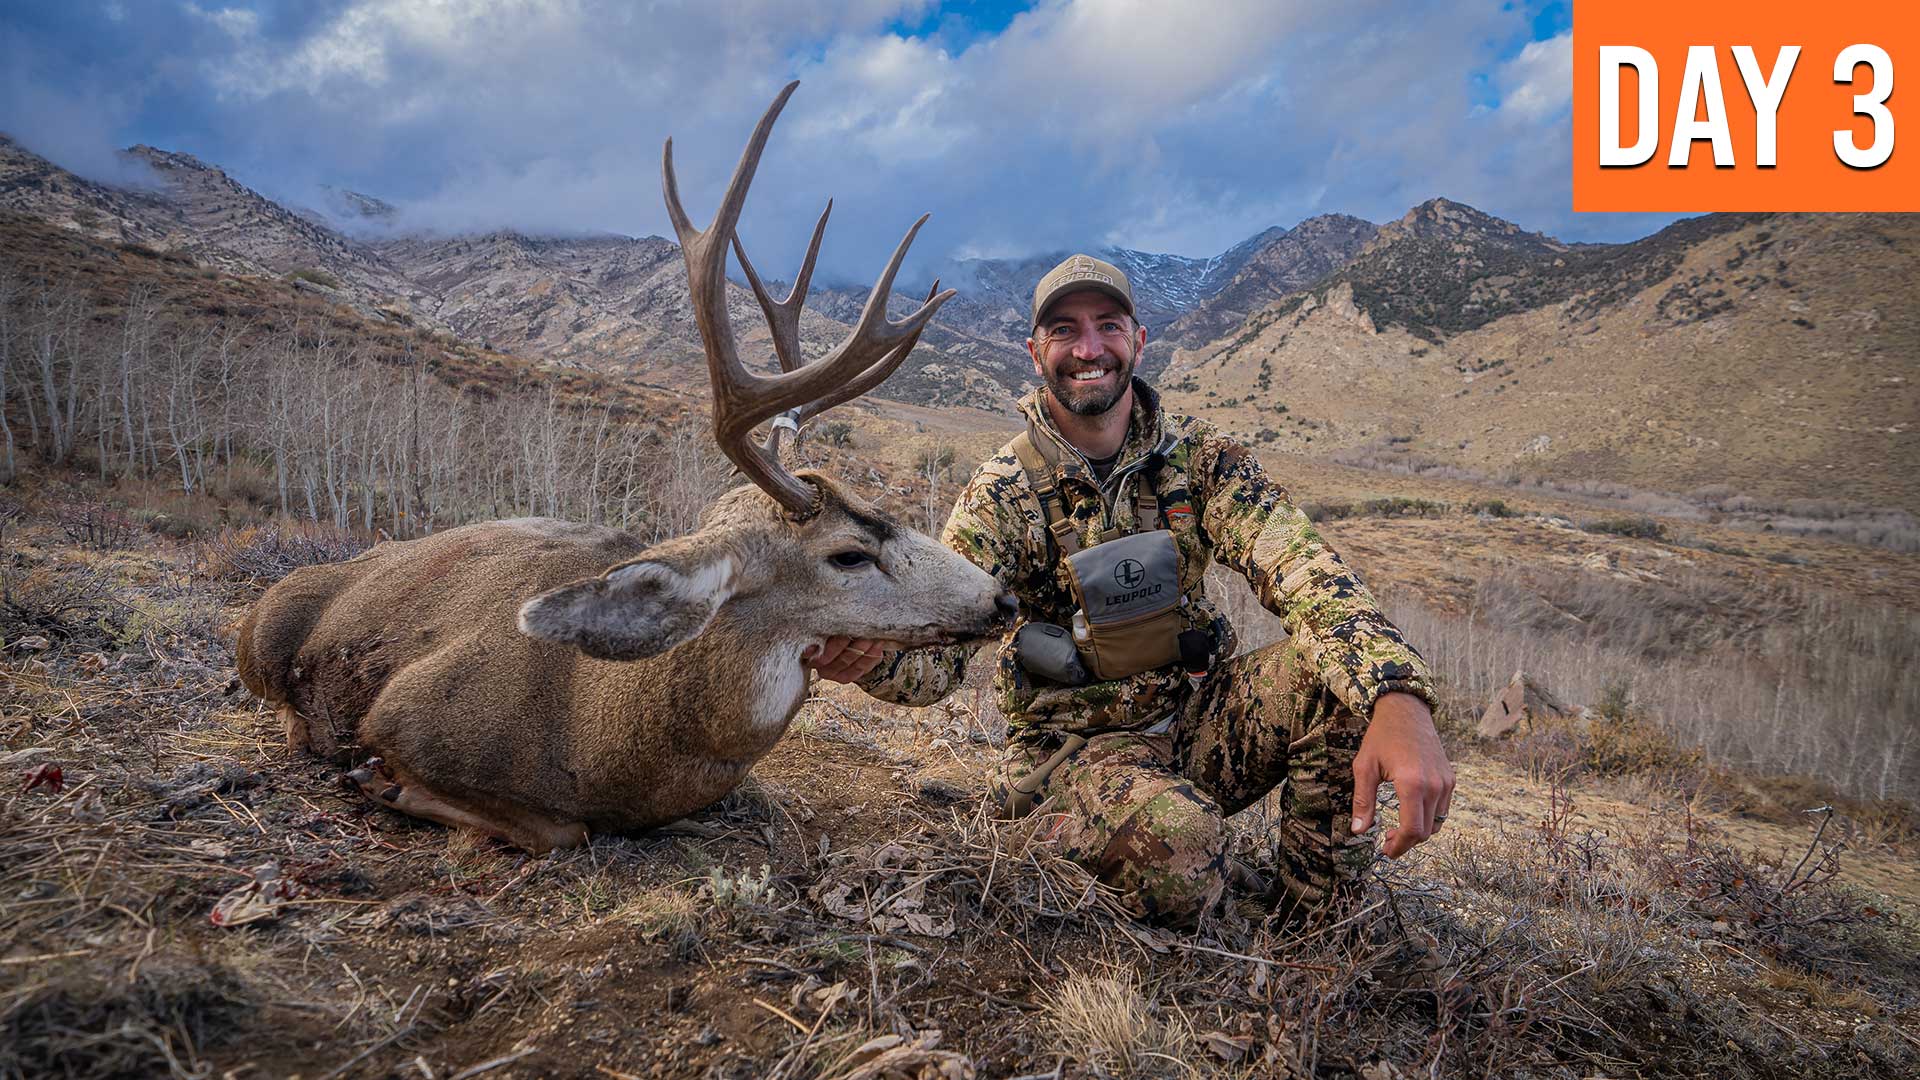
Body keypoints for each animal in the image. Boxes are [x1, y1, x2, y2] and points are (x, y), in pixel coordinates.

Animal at [235, 82, 1016, 852]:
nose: (1003, 599)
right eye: (848, 554)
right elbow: (559, 831)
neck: (597, 729)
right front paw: (378, 781)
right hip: (262, 640)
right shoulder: (406, 716)